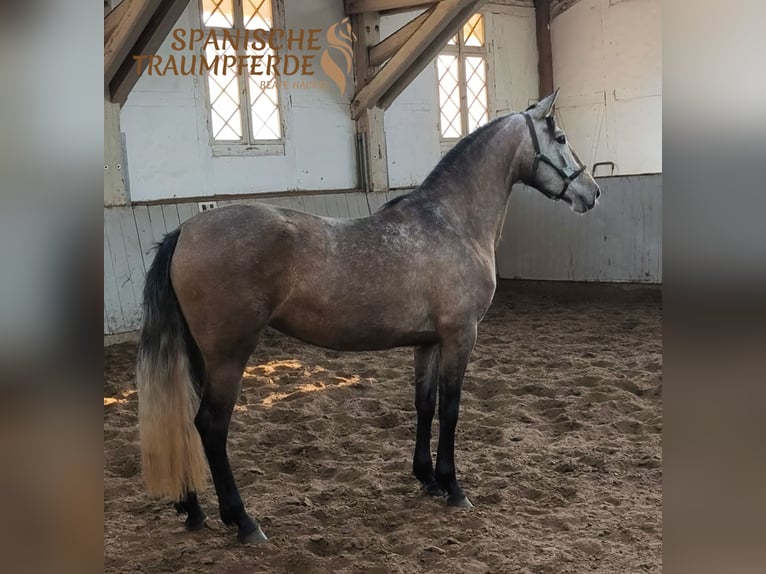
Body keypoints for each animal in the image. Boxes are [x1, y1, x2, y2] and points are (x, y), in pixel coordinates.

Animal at [136, 89, 601, 544]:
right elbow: (451, 408)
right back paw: (243, 521)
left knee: (189, 422)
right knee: (211, 426)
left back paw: (194, 510)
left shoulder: (427, 342)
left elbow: (424, 405)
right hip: (230, 355)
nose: (592, 192)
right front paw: (453, 487)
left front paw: (427, 479)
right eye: (561, 138)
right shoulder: (459, 336)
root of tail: (185, 231)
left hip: (202, 356)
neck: (452, 223)